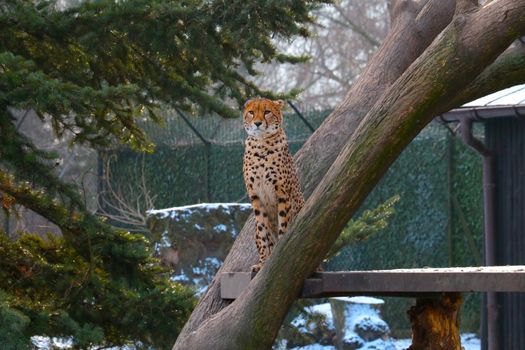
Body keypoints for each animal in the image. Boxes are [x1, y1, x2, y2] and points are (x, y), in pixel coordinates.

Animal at [242, 97, 302, 272]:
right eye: (251, 112)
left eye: (267, 112)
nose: (257, 123)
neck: (261, 144)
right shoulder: (255, 197)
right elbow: (263, 230)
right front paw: (263, 262)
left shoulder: (282, 193)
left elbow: (283, 222)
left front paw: (278, 252)